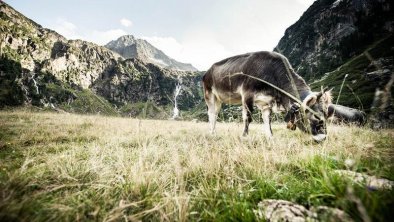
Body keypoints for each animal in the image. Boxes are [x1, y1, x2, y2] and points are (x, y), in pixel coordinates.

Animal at [203, 51, 332, 142]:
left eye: (326, 115)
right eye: (316, 117)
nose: (323, 138)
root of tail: (207, 71)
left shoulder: (266, 103)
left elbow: (267, 121)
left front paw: (270, 137)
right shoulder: (247, 94)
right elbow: (248, 118)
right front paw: (244, 136)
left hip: (219, 100)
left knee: (215, 114)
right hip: (210, 95)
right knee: (212, 115)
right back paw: (212, 133)